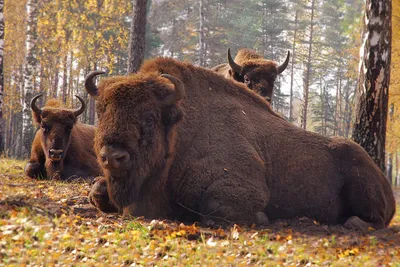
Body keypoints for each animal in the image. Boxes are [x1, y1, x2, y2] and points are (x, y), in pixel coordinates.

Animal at [86, 57, 396, 231]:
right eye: (101, 111)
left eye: (150, 118)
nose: (112, 156)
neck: (179, 131)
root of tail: (384, 179)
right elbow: (97, 191)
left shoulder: (243, 186)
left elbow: (215, 207)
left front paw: (263, 218)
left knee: (376, 218)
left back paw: (352, 224)